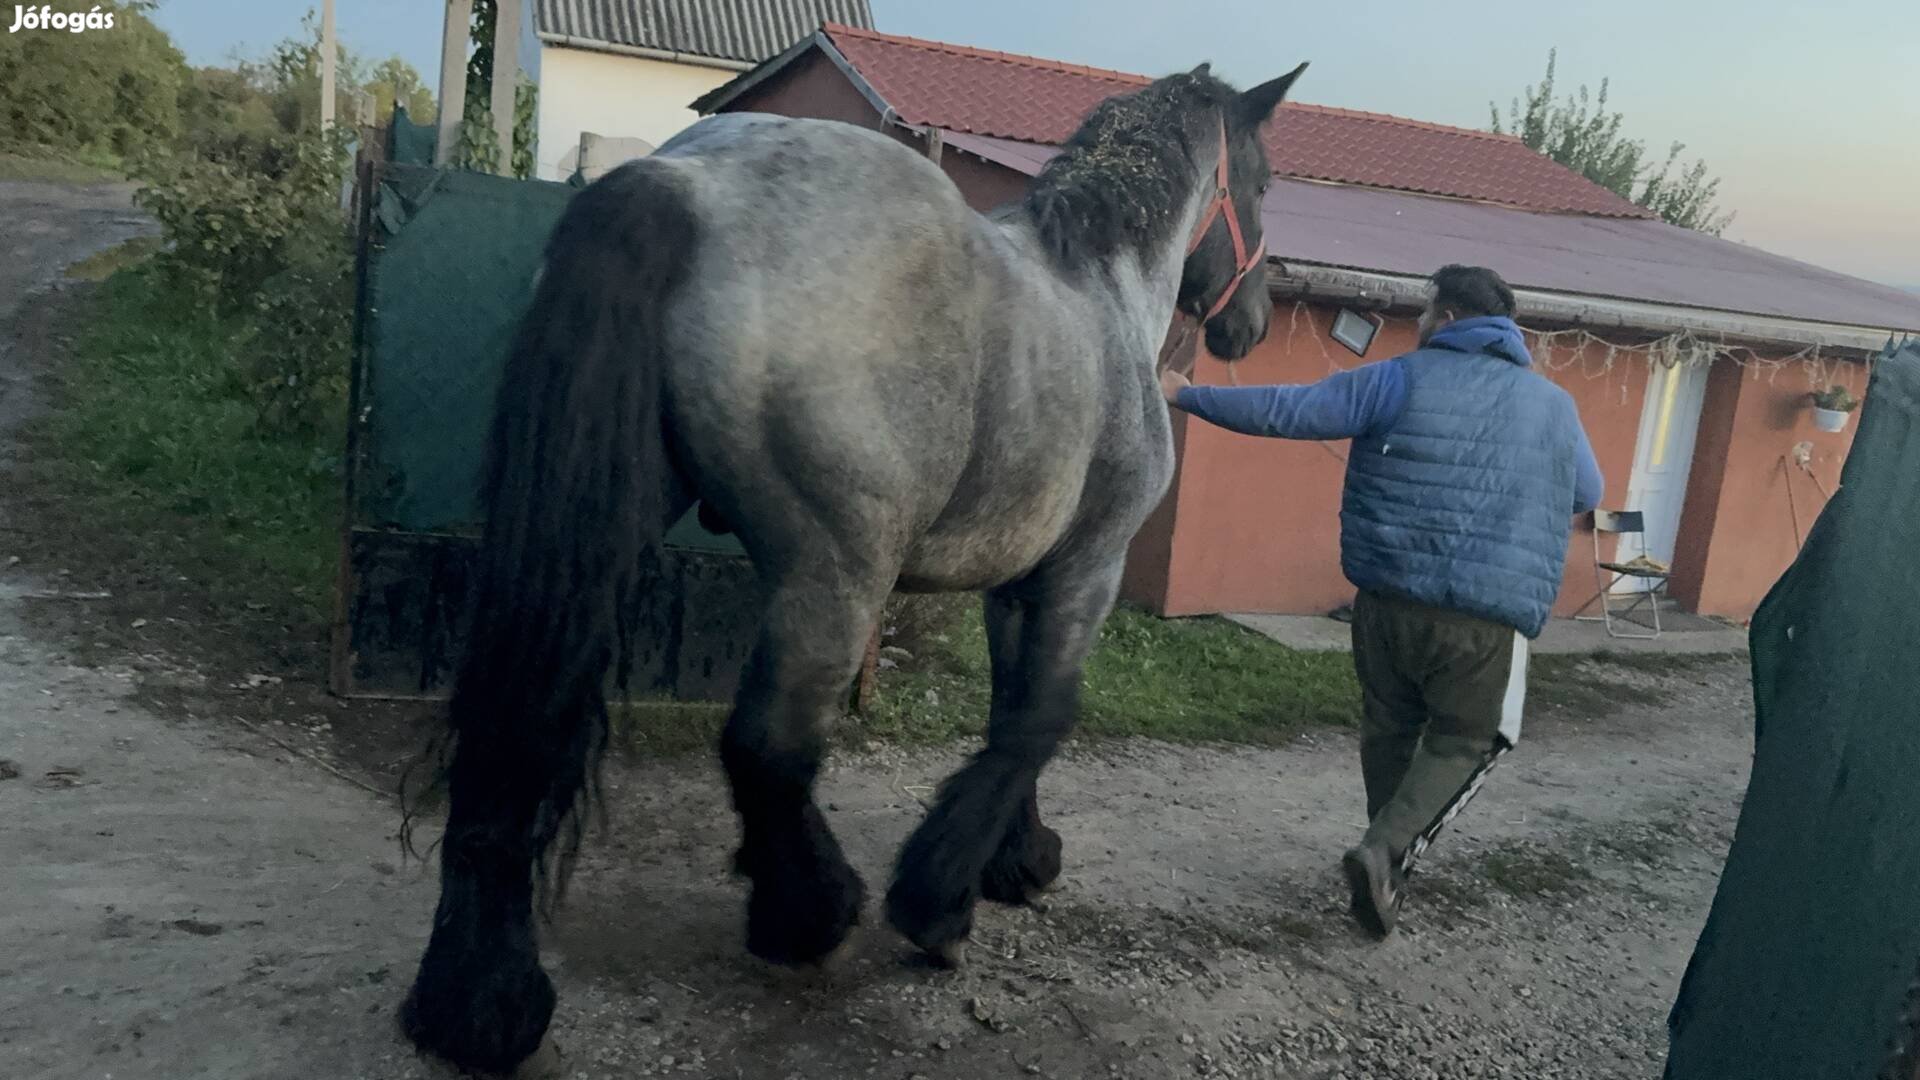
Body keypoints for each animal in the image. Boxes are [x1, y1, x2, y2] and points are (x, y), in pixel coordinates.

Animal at [403, 56, 1305, 1068]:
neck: (1099, 290)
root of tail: (687, 183)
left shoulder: (1015, 586)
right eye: (1265, 183)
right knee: (768, 747)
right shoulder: (1087, 570)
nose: (1252, 325)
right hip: (835, 574)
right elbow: (1041, 719)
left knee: (526, 717)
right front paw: (942, 901)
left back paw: (477, 995)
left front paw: (1015, 858)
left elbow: (1012, 713)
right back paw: (811, 913)